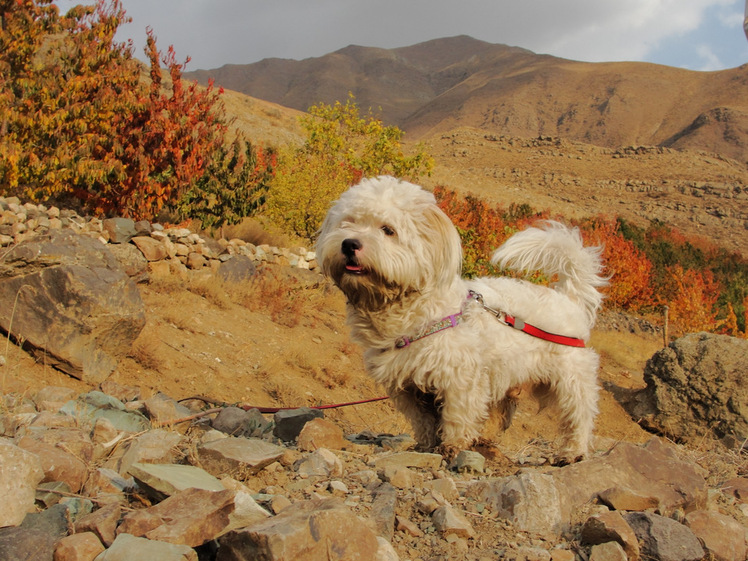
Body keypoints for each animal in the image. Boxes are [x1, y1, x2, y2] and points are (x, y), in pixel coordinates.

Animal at [318, 176, 608, 464]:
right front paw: (426, 445)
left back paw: (573, 452)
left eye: (388, 230)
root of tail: (568, 298)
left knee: (579, 417)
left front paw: (453, 445)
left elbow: (457, 415)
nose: (349, 244)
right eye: (347, 223)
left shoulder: (461, 378)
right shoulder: (408, 387)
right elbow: (423, 421)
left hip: (572, 380)